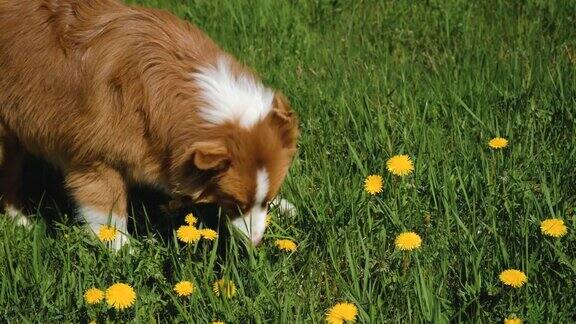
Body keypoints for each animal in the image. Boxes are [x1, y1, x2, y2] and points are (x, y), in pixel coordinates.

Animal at [0, 0, 296, 249]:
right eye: (236, 203)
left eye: (263, 201)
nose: (256, 243)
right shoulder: (94, 159)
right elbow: (108, 210)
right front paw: (125, 250)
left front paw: (285, 206)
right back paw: (22, 222)